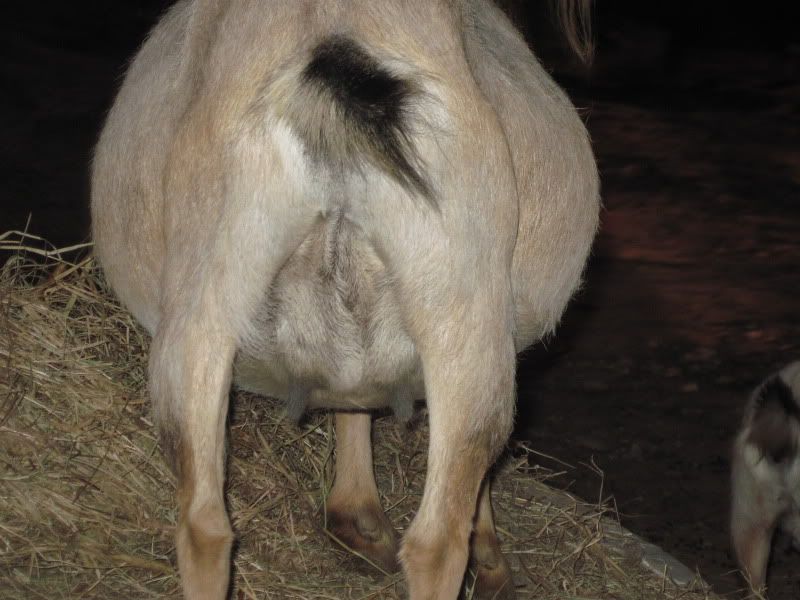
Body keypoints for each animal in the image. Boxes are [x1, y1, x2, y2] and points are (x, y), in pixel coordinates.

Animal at [91, 1, 599, 598]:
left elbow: (351, 394)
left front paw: (356, 520)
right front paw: (486, 556)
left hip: (205, 296)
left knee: (203, 525)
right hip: (461, 306)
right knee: (437, 538)